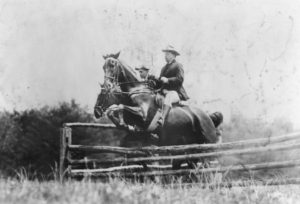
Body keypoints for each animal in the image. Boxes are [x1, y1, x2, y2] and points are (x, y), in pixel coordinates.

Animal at [94, 53, 223, 169]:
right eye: (103, 67)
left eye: (112, 65)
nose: (96, 112)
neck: (136, 90)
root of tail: (208, 117)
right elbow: (114, 111)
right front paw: (122, 123)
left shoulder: (142, 113)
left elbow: (119, 106)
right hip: (189, 147)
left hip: (208, 142)